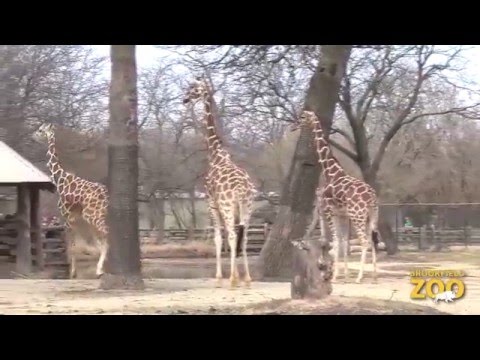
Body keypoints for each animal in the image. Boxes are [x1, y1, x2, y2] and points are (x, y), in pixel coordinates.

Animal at [33, 124, 109, 278]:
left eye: (40, 130)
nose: (33, 136)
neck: (60, 180)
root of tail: (106, 195)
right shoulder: (76, 218)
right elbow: (84, 245)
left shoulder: (67, 216)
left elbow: (72, 246)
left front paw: (73, 273)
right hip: (93, 217)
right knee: (104, 238)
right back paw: (103, 268)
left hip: (93, 215)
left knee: (106, 235)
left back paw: (100, 271)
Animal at [185, 77, 258, 288]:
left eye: (193, 89)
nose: (185, 99)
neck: (216, 155)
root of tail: (242, 188)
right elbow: (232, 237)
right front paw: (240, 276)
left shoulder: (212, 203)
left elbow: (218, 238)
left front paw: (219, 277)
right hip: (247, 206)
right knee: (244, 236)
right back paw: (247, 278)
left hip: (227, 205)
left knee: (232, 235)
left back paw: (232, 280)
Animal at [294, 110, 380, 284]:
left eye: (302, 117)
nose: (294, 125)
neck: (331, 172)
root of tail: (372, 198)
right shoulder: (342, 215)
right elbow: (343, 241)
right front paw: (343, 275)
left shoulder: (330, 211)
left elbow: (335, 241)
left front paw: (335, 276)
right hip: (371, 216)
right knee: (373, 241)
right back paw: (374, 276)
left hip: (358, 216)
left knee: (365, 241)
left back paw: (359, 277)